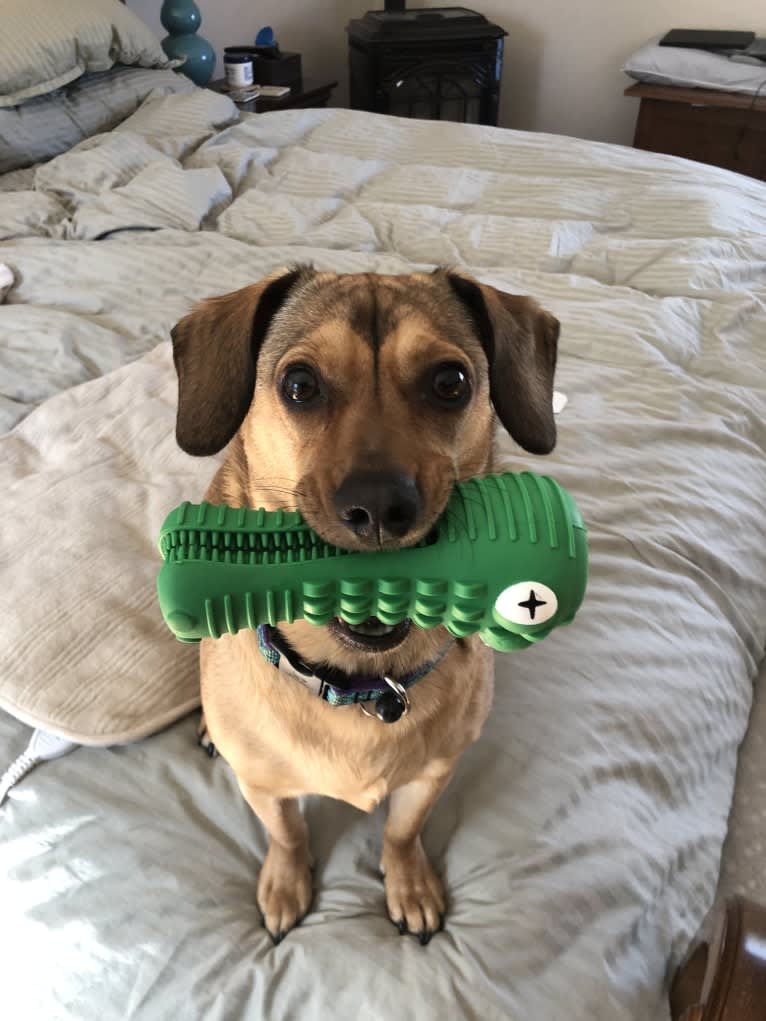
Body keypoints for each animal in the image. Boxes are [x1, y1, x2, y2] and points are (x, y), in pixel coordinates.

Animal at [172, 267, 559, 943]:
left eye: (451, 382)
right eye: (299, 385)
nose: (379, 506)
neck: (362, 686)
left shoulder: (434, 774)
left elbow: (403, 832)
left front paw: (408, 884)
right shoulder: (264, 787)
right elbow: (286, 833)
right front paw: (286, 882)